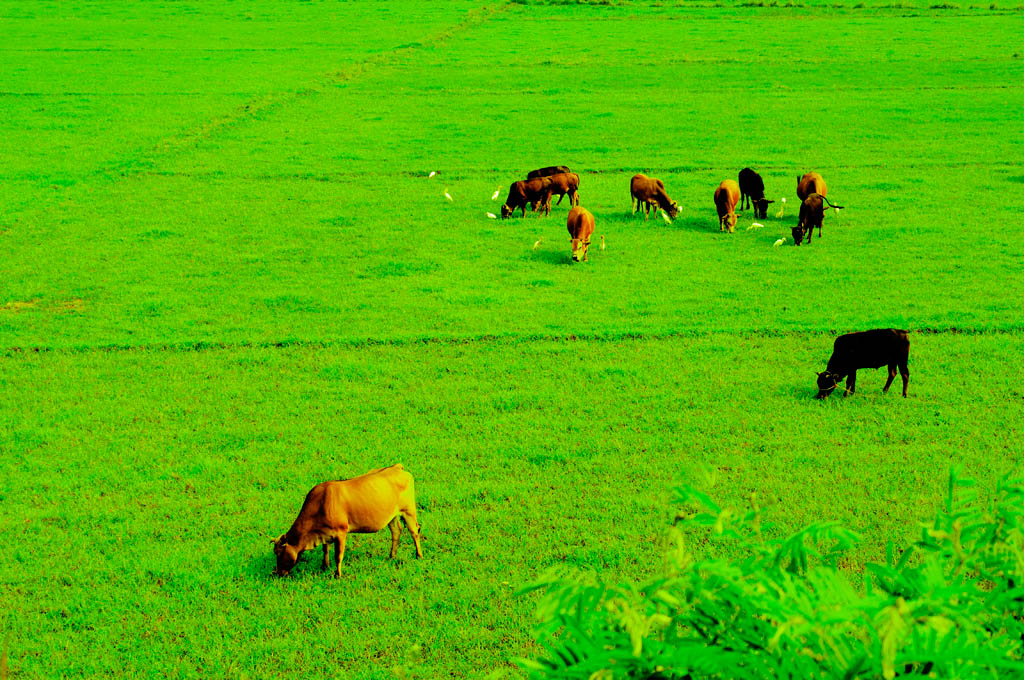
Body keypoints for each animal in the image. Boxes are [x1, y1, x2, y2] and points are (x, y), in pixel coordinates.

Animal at [272, 462, 423, 577]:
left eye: (279, 553)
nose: (277, 572)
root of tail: (396, 467)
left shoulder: (341, 532)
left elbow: (338, 555)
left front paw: (337, 575)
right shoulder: (325, 533)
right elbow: (325, 550)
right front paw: (324, 566)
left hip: (409, 510)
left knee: (414, 532)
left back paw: (419, 555)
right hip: (392, 515)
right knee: (396, 531)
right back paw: (392, 556)